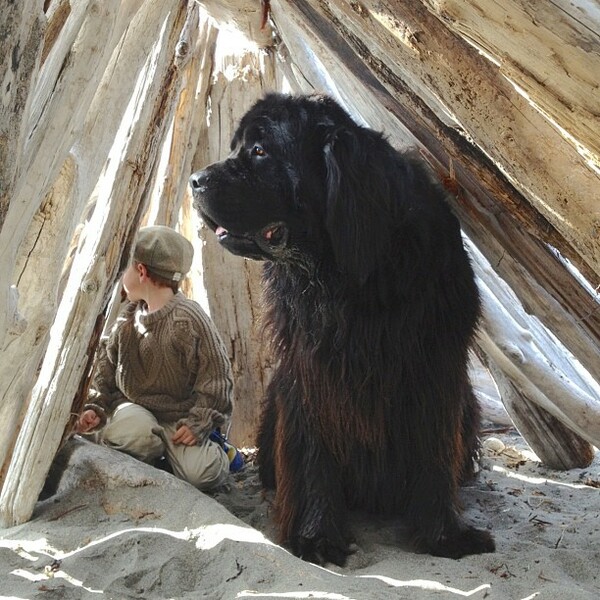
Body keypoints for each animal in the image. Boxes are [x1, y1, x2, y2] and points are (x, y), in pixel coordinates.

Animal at [190, 92, 494, 564]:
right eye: (238, 147)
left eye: (259, 151)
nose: (194, 180)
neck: (348, 270)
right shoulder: (311, 366)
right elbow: (314, 448)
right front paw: (316, 535)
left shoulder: (434, 367)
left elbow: (433, 449)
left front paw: (445, 536)